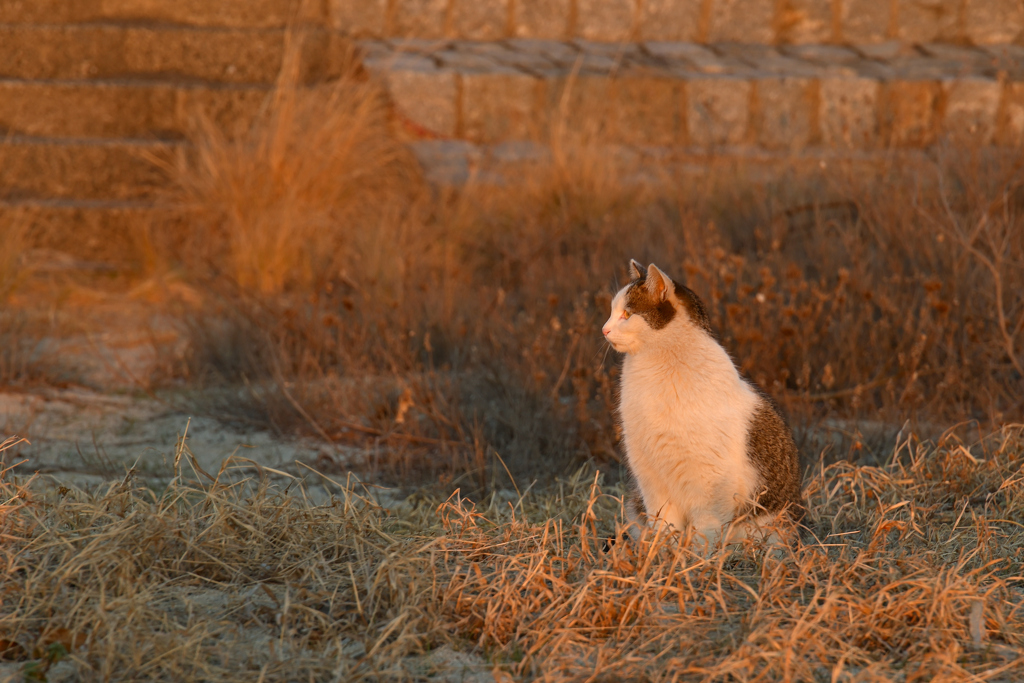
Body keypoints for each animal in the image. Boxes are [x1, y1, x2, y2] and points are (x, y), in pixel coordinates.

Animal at [598, 259, 806, 548]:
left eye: (627, 314)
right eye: (612, 312)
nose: (604, 329)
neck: (658, 367)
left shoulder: (709, 482)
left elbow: (704, 531)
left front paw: (696, 557)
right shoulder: (651, 480)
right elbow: (664, 526)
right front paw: (664, 555)